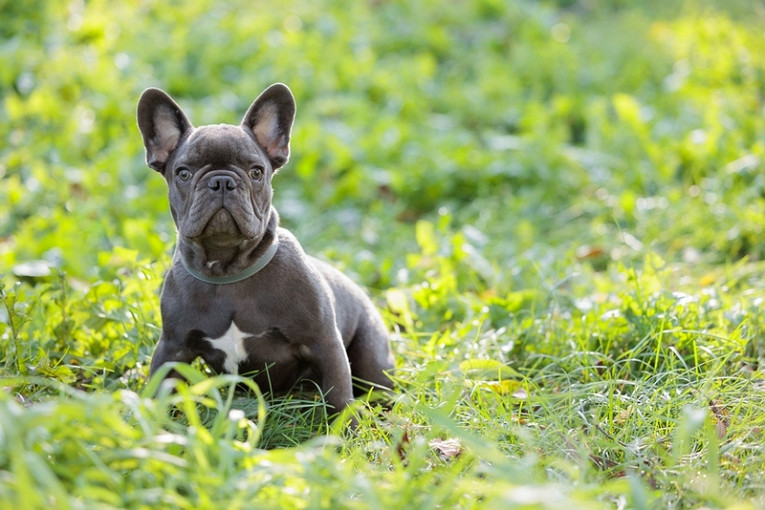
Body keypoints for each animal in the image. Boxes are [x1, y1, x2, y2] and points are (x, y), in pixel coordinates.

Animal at [135, 82, 394, 414]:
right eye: (183, 173)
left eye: (256, 172)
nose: (221, 181)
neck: (227, 271)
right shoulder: (172, 348)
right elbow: (159, 386)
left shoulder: (324, 342)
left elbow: (338, 394)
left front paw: (342, 426)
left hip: (372, 358)